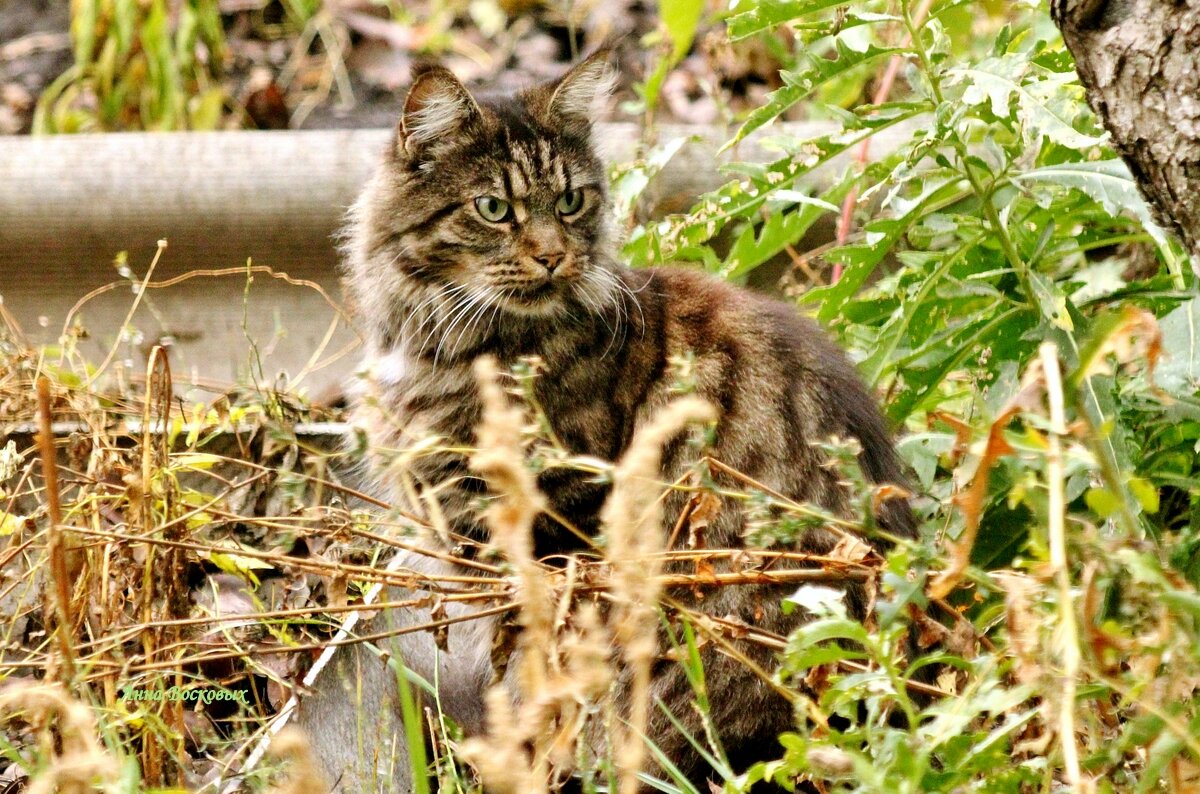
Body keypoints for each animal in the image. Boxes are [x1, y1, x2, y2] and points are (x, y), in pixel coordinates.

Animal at [295, 51, 912, 794]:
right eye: (494, 209)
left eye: (570, 201)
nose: (552, 255)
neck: (446, 344)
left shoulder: (552, 525)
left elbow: (524, 660)